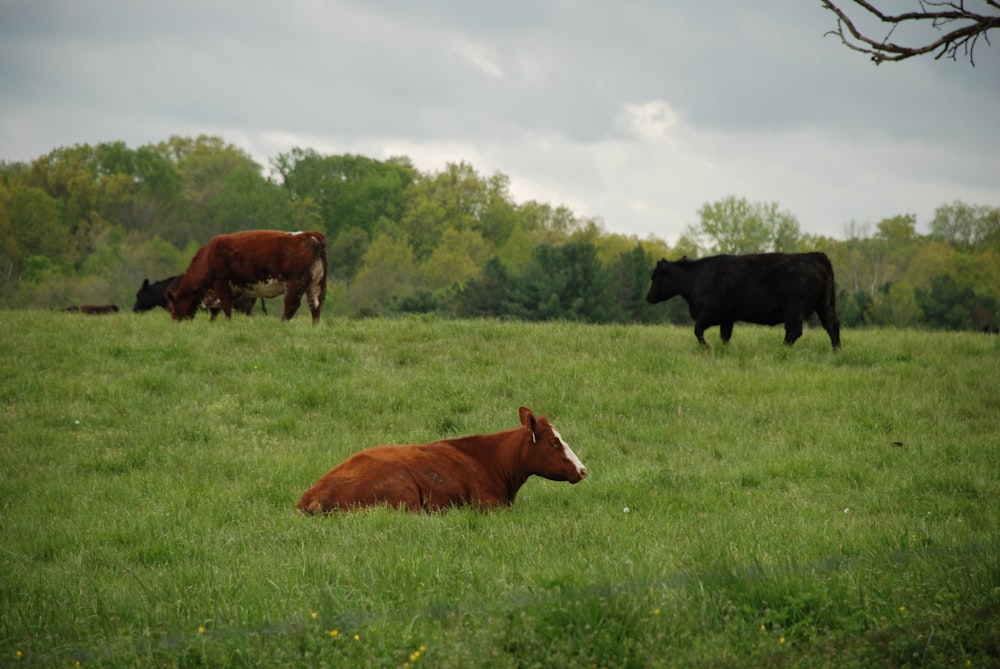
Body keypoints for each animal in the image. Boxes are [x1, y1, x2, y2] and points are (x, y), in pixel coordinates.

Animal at [168, 230, 328, 324]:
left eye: (173, 306)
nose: (174, 321)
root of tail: (310, 234)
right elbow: (216, 310)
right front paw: (212, 323)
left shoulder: (221, 283)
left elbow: (226, 307)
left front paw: (227, 324)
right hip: (315, 284)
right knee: (315, 307)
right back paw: (315, 326)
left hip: (295, 283)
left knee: (291, 306)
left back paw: (281, 324)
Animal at [648, 252, 844, 350]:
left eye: (655, 277)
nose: (648, 297)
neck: (697, 277)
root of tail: (813, 257)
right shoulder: (727, 318)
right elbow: (724, 336)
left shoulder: (710, 313)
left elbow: (697, 330)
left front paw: (707, 348)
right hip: (823, 305)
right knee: (832, 325)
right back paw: (836, 351)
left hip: (795, 312)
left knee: (793, 333)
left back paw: (781, 350)